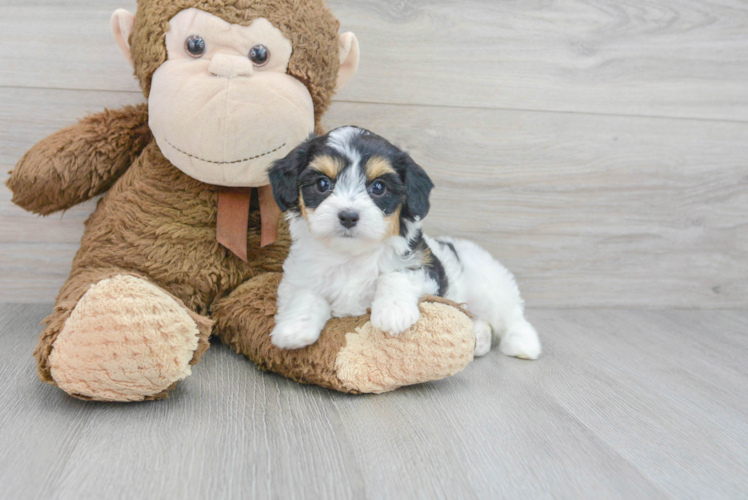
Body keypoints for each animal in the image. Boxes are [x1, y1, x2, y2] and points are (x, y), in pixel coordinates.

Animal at [266, 126, 540, 360]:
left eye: (378, 187)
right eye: (323, 184)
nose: (348, 216)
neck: (352, 255)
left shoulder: (425, 267)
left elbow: (395, 275)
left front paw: (393, 312)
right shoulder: (299, 276)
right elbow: (306, 294)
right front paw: (294, 327)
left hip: (490, 285)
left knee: (510, 315)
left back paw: (523, 344)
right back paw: (480, 338)